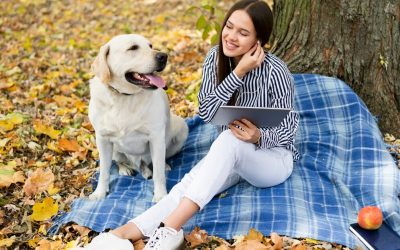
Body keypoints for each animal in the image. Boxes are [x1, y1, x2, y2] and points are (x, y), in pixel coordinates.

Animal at [88, 34, 188, 202]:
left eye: (150, 45)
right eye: (133, 48)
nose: (163, 56)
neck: (124, 97)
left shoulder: (156, 138)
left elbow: (158, 174)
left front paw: (160, 196)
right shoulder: (102, 139)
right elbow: (104, 171)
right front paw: (100, 192)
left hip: (180, 128)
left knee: (156, 164)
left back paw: (161, 167)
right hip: (112, 149)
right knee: (120, 161)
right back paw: (125, 168)